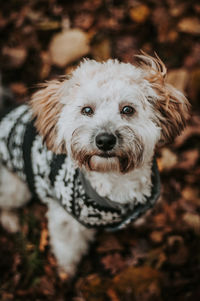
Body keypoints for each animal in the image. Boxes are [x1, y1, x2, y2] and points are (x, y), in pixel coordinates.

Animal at [0, 53, 189, 274]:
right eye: (87, 110)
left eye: (127, 109)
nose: (105, 140)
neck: (114, 177)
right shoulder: (66, 220)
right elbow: (67, 248)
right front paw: (67, 271)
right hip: (16, 188)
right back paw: (10, 220)